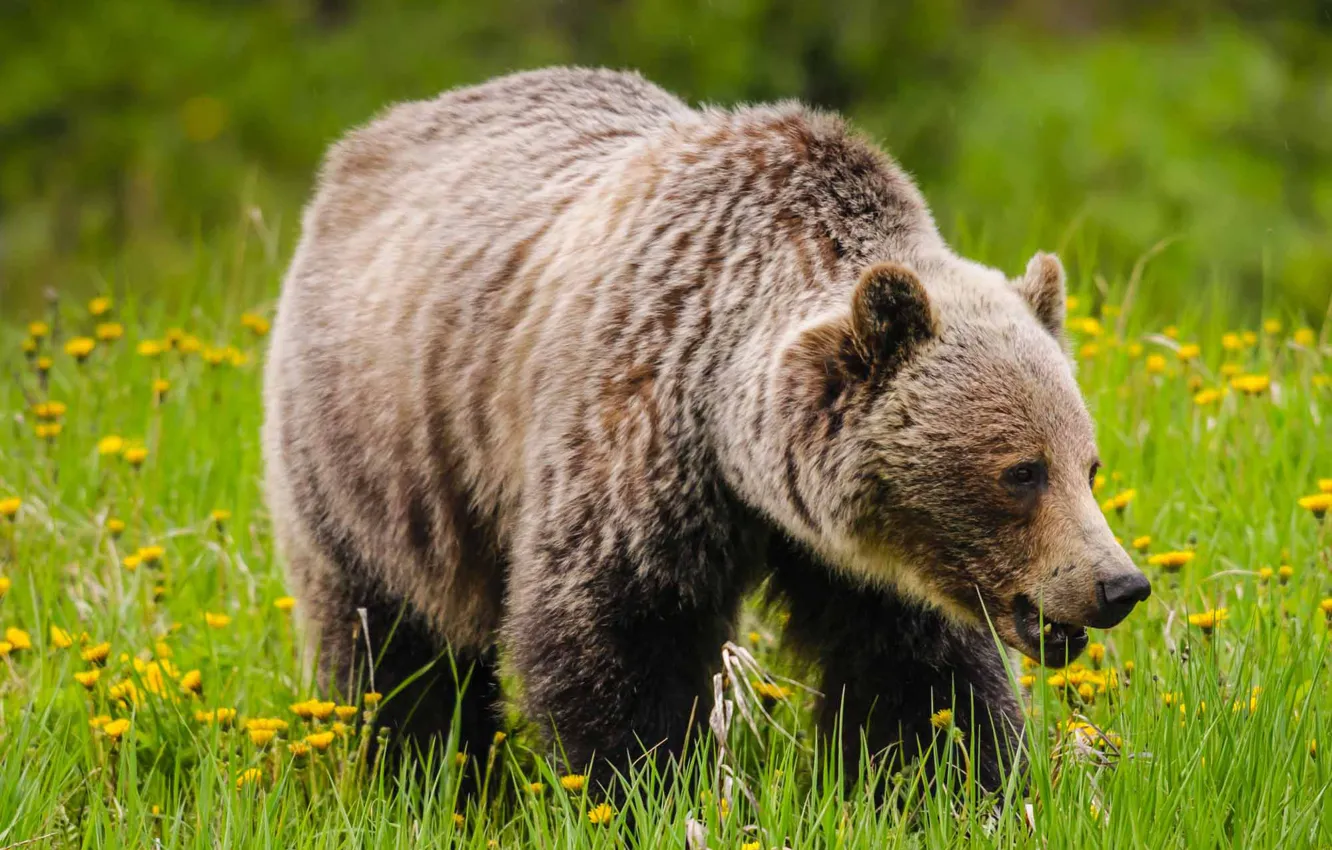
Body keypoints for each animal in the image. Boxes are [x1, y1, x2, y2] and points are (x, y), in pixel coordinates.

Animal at [262, 66, 1151, 790]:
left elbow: (918, 676)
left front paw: (950, 786)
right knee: (391, 646)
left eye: (1090, 465)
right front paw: (648, 784)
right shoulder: (635, 434)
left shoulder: (863, 557)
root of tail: (361, 147)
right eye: (1021, 471)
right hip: (379, 448)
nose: (1118, 585)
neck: (732, 433)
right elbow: (619, 637)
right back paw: (423, 775)